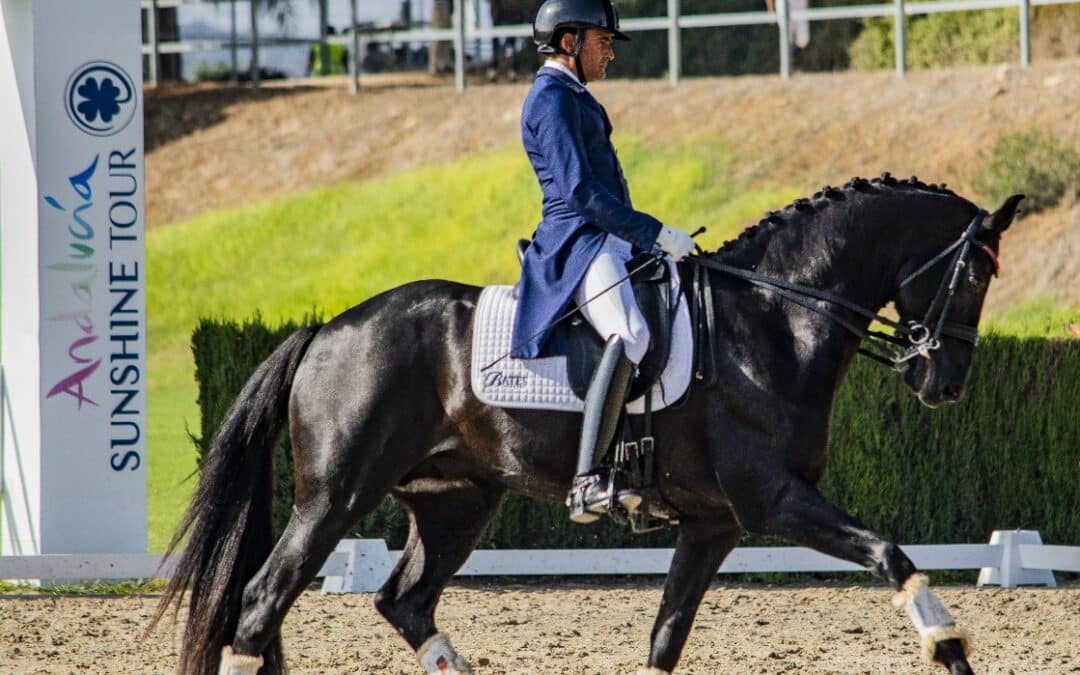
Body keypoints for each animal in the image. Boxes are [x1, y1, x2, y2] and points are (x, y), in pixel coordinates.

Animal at [150, 176, 1019, 669]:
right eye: (975, 275)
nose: (943, 383)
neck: (776, 315)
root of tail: (325, 329)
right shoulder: (773, 499)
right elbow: (889, 553)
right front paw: (947, 643)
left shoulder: (715, 523)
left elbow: (666, 638)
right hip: (336, 497)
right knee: (261, 603)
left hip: (456, 501)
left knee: (405, 601)